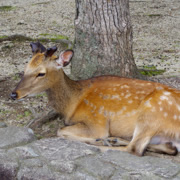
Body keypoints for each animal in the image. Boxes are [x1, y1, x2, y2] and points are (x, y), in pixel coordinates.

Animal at [11, 42, 180, 156]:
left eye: (41, 73)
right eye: (25, 69)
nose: (13, 94)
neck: (72, 104)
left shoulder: (96, 120)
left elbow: (60, 130)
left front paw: (98, 140)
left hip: (151, 113)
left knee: (135, 149)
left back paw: (102, 143)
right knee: (169, 148)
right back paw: (114, 140)